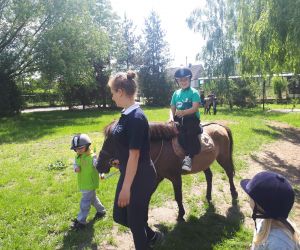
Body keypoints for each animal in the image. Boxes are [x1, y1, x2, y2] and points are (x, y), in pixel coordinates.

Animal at [97, 121, 238, 221]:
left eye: (114, 141)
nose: (98, 165)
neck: (162, 148)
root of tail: (220, 126)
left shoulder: (176, 178)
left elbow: (178, 197)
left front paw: (181, 215)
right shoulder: (157, 177)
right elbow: (148, 195)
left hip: (223, 158)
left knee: (229, 173)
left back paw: (234, 193)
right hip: (205, 163)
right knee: (209, 176)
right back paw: (208, 196)